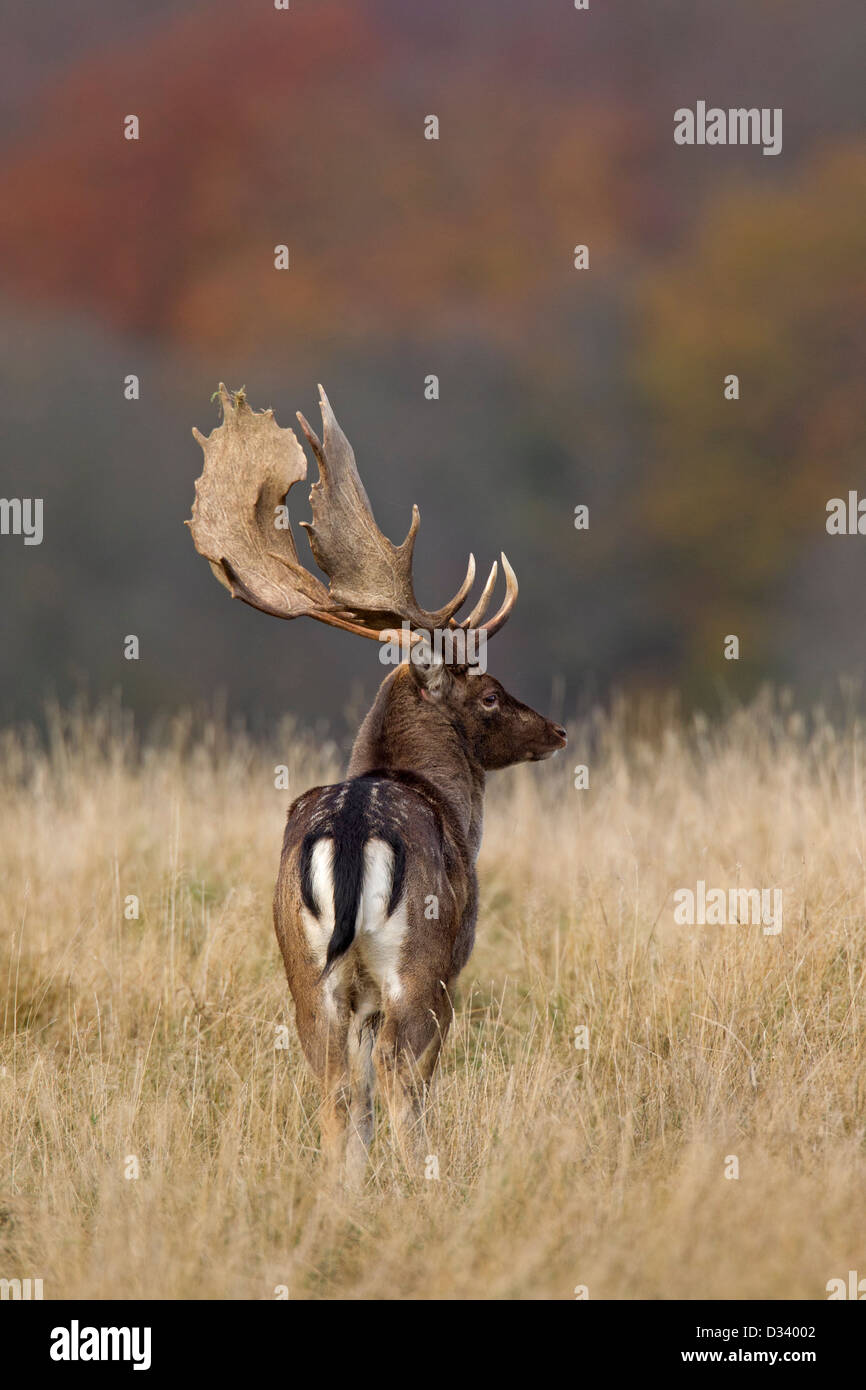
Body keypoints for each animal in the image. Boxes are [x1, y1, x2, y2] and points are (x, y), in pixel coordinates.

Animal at [189, 384, 567, 1183]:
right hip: (418, 962)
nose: (555, 731)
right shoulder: (457, 955)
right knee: (398, 1072)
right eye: (490, 695)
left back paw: (342, 1192)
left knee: (337, 1084)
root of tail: (353, 830)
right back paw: (427, 1177)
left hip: (304, 967)